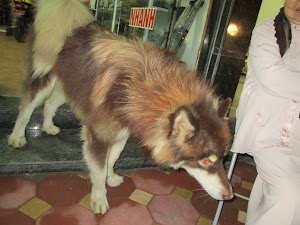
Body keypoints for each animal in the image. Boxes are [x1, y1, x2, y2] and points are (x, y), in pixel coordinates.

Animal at [8, 0, 234, 214]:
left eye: (225, 158)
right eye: (206, 161)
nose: (230, 195)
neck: (137, 90)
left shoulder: (122, 131)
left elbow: (112, 158)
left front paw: (111, 177)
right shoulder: (99, 136)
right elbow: (98, 170)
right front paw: (99, 198)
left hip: (72, 85)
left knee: (50, 103)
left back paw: (47, 126)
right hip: (42, 78)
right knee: (26, 109)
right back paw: (17, 137)